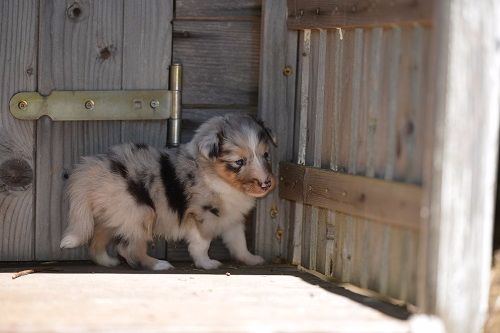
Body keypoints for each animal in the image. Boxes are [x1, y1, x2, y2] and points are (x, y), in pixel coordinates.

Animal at [60, 114, 278, 270]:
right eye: (239, 162)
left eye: (266, 155)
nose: (266, 184)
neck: (218, 178)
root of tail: (90, 172)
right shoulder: (202, 215)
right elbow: (202, 244)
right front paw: (206, 264)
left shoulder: (231, 218)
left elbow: (239, 242)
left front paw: (251, 259)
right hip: (141, 212)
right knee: (128, 248)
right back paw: (158, 264)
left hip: (114, 216)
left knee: (97, 241)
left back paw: (107, 261)